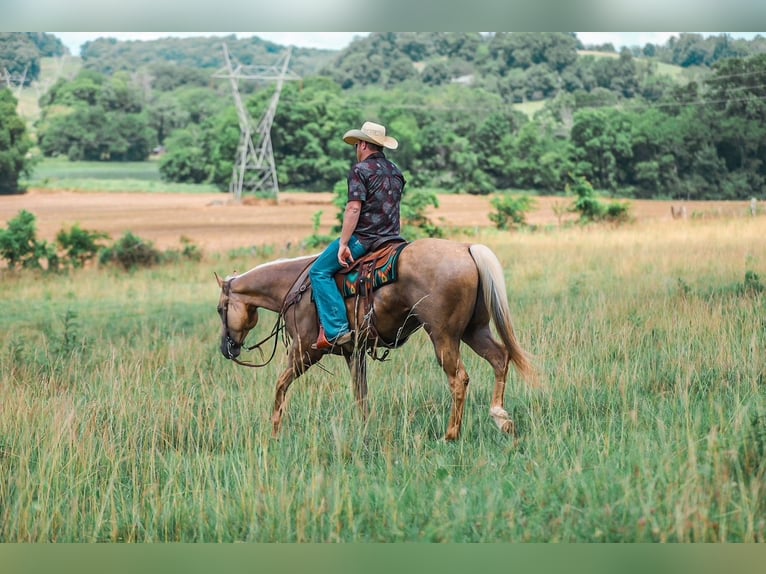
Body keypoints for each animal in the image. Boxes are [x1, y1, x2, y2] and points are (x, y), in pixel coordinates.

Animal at [216, 238, 533, 441]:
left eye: (220, 309)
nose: (226, 349)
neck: (294, 286)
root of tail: (466, 249)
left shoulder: (304, 351)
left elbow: (280, 385)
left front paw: (275, 429)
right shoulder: (353, 352)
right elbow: (361, 393)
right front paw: (365, 429)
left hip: (443, 336)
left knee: (459, 379)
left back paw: (451, 435)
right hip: (474, 330)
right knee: (500, 358)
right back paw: (501, 418)